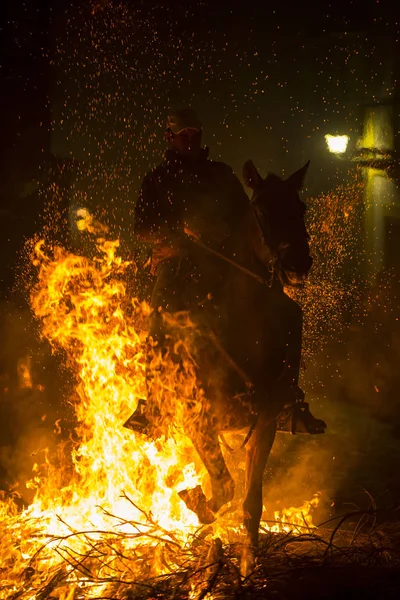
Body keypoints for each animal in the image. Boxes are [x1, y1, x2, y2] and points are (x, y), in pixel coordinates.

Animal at [126, 158, 320, 548]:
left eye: (300, 207)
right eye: (262, 209)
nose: (298, 262)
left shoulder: (265, 421)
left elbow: (250, 504)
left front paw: (250, 557)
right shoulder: (197, 420)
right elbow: (225, 488)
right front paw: (197, 503)